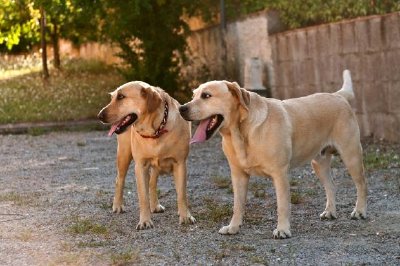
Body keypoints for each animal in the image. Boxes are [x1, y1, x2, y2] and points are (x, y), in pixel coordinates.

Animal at [98, 81, 195, 229]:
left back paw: (155, 205)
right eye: (112, 97)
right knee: (119, 180)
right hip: (124, 155)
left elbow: (182, 194)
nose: (99, 116)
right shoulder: (140, 166)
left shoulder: (180, 163)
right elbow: (143, 197)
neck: (155, 131)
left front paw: (185, 216)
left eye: (121, 96)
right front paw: (145, 221)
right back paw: (118, 206)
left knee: (152, 183)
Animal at [180, 69, 368, 238]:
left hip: (351, 156)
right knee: (331, 186)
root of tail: (338, 96)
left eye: (206, 95)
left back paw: (359, 211)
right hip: (319, 163)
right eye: (193, 95)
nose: (182, 108)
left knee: (361, 184)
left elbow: (282, 205)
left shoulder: (280, 174)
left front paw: (283, 230)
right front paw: (233, 227)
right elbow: (237, 205)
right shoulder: (238, 175)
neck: (242, 132)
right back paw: (330, 212)